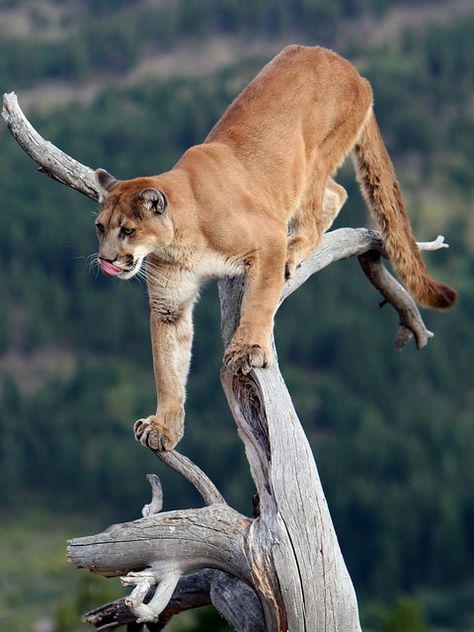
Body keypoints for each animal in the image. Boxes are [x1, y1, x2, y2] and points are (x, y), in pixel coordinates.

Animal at [92, 45, 456, 450]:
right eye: (100, 227)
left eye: (127, 230)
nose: (105, 259)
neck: (180, 240)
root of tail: (347, 66)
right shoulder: (169, 304)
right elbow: (168, 366)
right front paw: (164, 425)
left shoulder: (266, 237)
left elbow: (259, 300)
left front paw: (248, 348)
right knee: (336, 193)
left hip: (312, 160)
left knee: (323, 204)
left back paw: (296, 251)